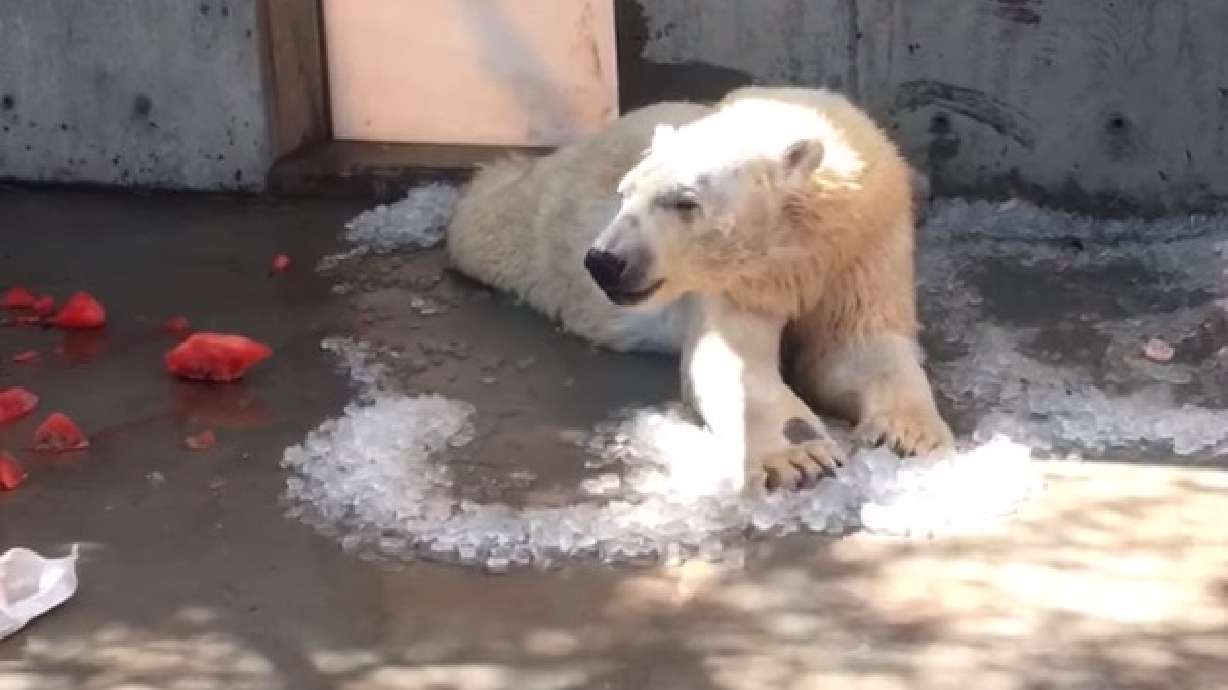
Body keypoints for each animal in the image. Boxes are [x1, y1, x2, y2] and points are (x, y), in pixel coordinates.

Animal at [447, 85, 953, 492]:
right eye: (626, 192)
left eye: (684, 202)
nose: (605, 262)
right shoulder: (737, 281)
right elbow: (735, 362)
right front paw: (799, 455)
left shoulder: (863, 249)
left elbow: (859, 345)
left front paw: (908, 435)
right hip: (535, 226)